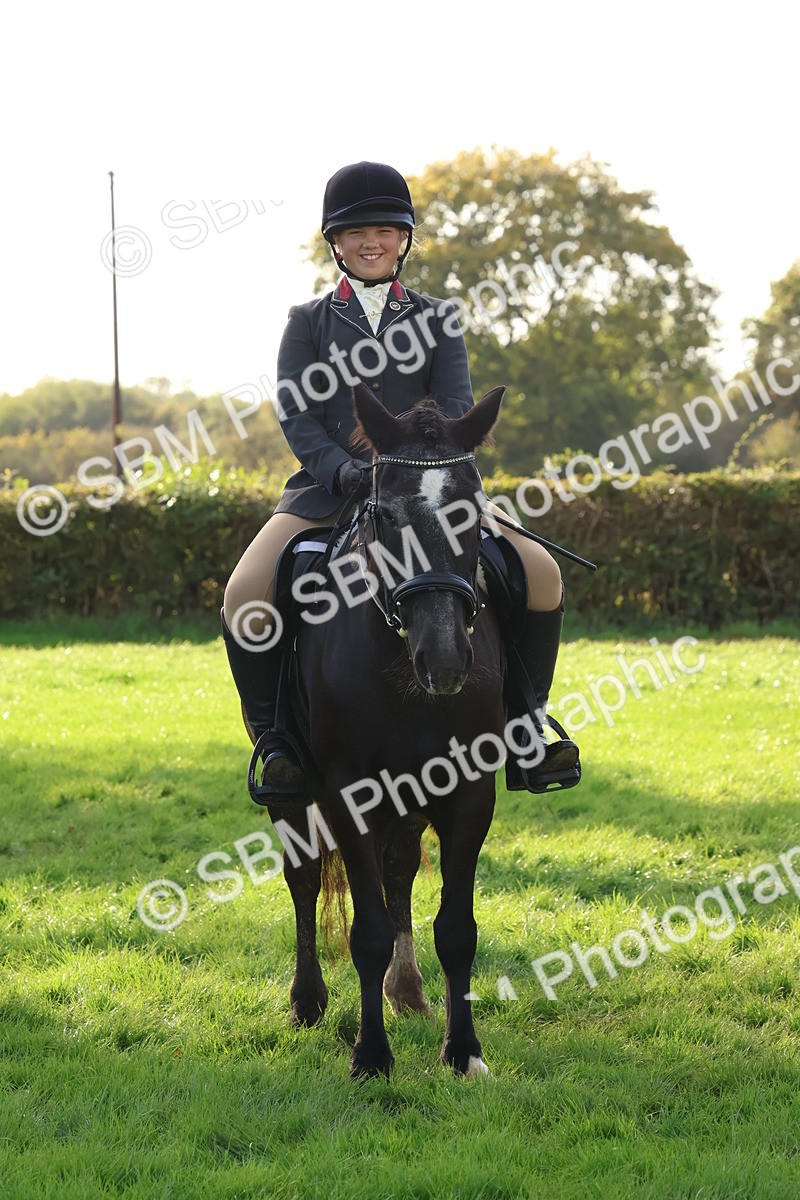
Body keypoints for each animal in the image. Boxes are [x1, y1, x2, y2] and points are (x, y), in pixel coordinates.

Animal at [267, 382, 509, 1079]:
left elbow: (456, 928)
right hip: (295, 794)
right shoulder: (348, 793)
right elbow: (366, 930)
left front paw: (463, 1051)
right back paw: (307, 1000)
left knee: (398, 873)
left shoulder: (470, 790)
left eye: (472, 513)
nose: (446, 659)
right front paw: (371, 1056)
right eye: (387, 515)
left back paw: (408, 991)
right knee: (305, 879)